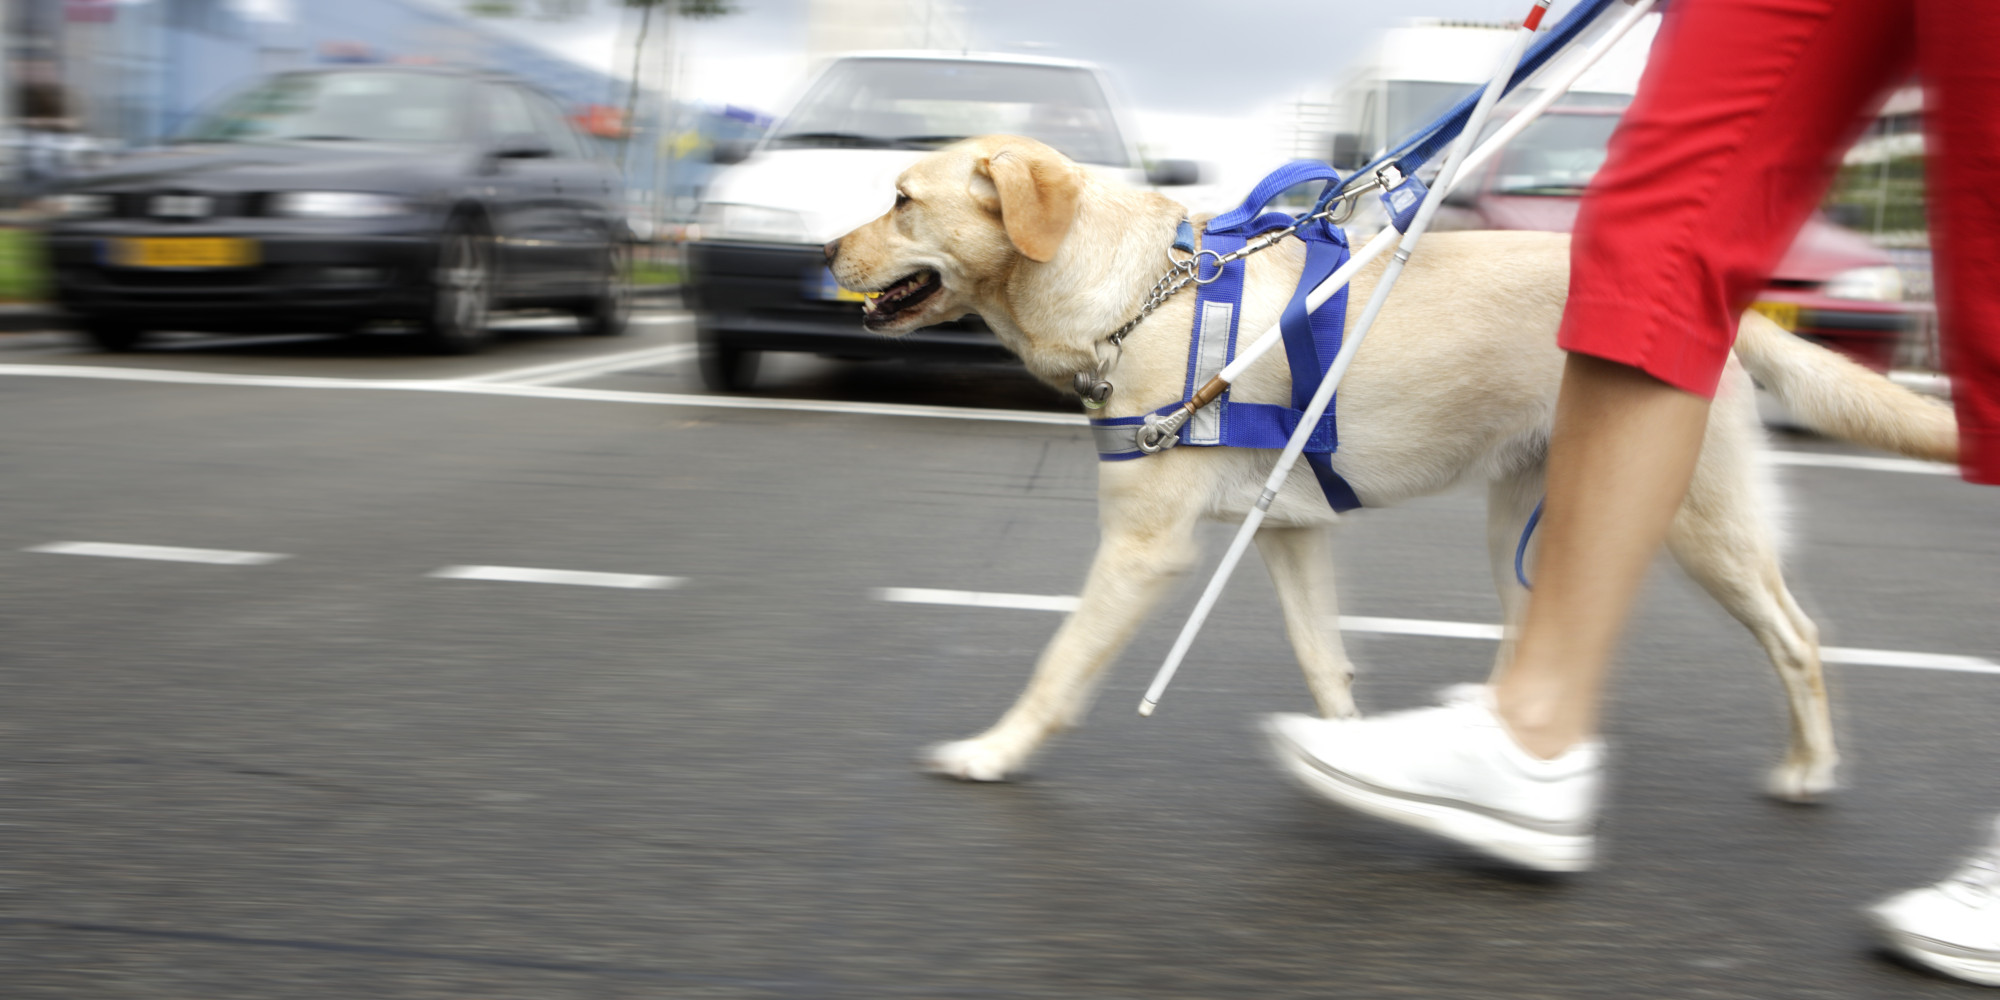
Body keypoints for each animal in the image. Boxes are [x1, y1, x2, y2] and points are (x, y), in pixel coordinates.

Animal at [824, 133, 1952, 796]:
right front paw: (1350, 750)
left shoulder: (1143, 549)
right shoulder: (1286, 533)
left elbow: (1058, 665)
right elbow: (1325, 662)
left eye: (900, 198)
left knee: (1799, 638)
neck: (1141, 291)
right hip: (1528, 524)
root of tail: (1724, 310)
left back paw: (1810, 768)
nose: (828, 253)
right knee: (1537, 640)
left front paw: (993, 750)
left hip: (1699, 526)